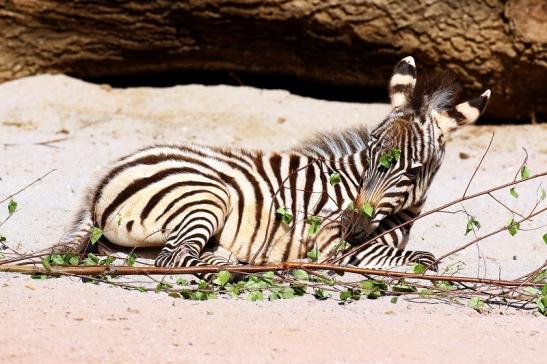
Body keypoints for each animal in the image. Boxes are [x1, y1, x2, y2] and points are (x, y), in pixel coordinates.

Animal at [55, 57, 492, 278]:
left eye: (413, 171)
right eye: (369, 155)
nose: (352, 226)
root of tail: (102, 180)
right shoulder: (330, 242)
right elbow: (424, 260)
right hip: (205, 195)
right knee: (173, 258)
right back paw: (231, 267)